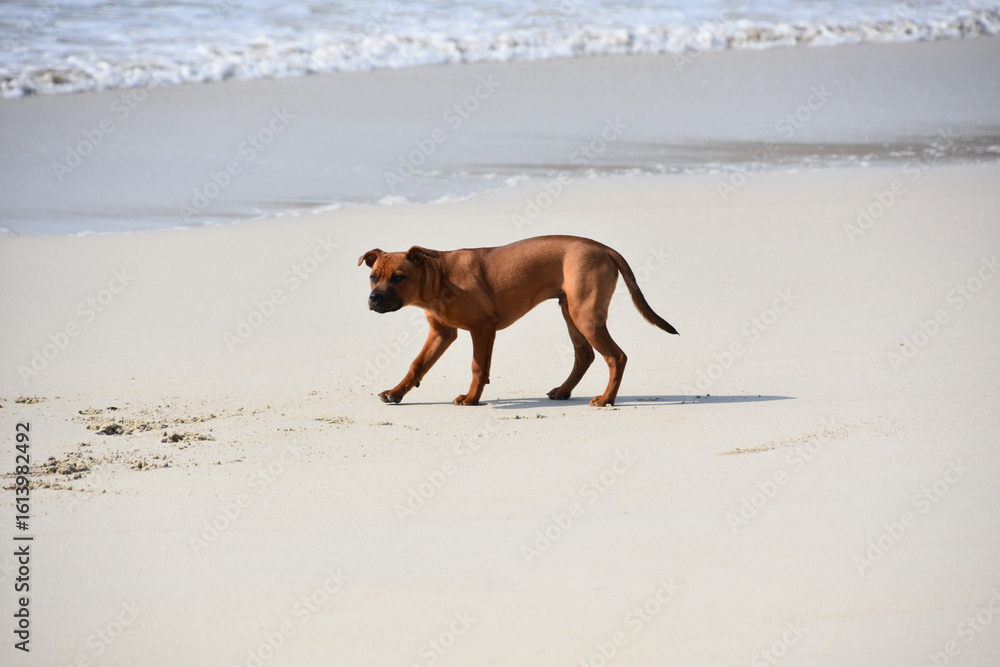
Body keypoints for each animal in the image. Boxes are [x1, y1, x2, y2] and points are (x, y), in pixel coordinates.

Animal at [359, 235, 678, 406]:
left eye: (398, 278)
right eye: (373, 277)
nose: (374, 299)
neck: (439, 279)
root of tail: (603, 247)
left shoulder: (482, 329)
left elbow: (478, 367)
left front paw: (472, 398)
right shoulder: (441, 333)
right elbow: (417, 364)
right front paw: (396, 393)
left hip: (585, 315)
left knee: (616, 356)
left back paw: (606, 399)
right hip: (572, 312)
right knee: (584, 355)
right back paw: (564, 391)